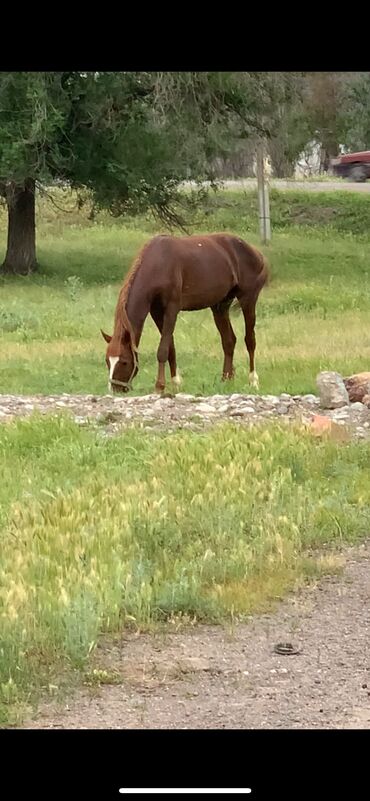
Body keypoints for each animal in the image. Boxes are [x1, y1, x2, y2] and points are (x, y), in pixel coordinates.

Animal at [101, 231, 268, 394]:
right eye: (107, 360)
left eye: (124, 361)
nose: (115, 389)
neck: (158, 263)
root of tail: (257, 253)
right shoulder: (157, 312)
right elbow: (170, 348)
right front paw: (176, 384)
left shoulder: (172, 308)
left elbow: (162, 350)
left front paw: (159, 386)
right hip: (220, 306)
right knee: (229, 341)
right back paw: (226, 380)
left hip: (248, 299)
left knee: (250, 340)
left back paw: (253, 381)